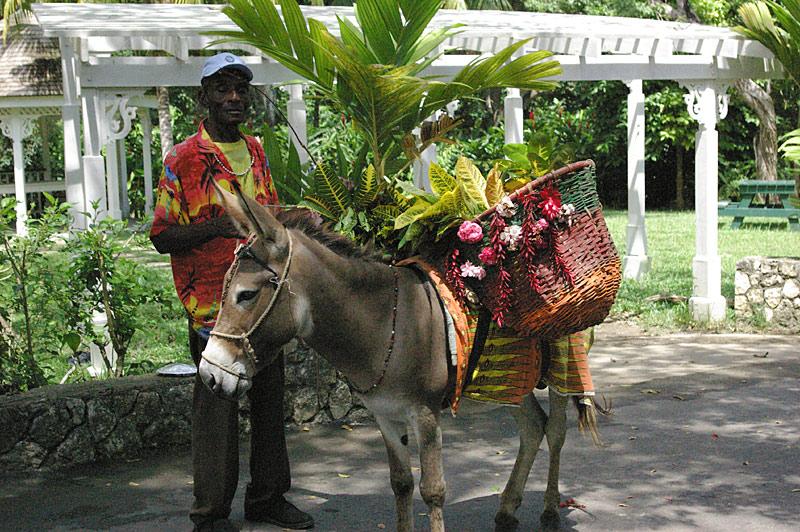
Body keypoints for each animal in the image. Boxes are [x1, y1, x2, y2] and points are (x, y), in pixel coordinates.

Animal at [199, 183, 597, 532]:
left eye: (246, 295)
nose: (208, 375)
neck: (385, 324)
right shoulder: (385, 415)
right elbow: (401, 484)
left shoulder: (425, 414)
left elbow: (432, 491)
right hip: (509, 377)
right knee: (532, 428)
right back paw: (507, 511)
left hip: (563, 361)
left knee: (556, 430)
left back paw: (550, 511)